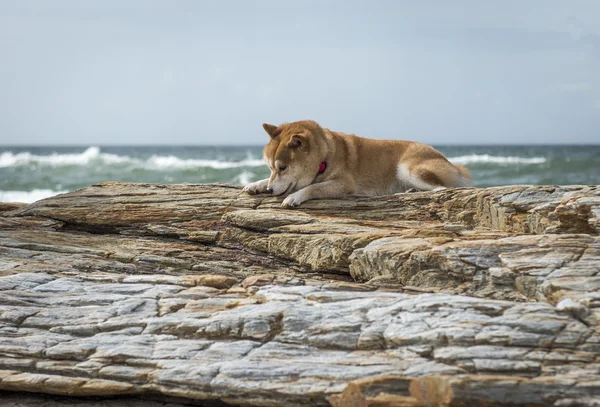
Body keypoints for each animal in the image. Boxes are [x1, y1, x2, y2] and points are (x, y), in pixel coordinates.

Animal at [241, 119, 472, 206]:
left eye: (283, 167)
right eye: (270, 168)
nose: (270, 191)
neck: (326, 157)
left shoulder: (344, 184)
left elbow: (312, 188)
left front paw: (295, 196)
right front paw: (256, 184)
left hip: (408, 169)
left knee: (442, 189)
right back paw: (408, 192)